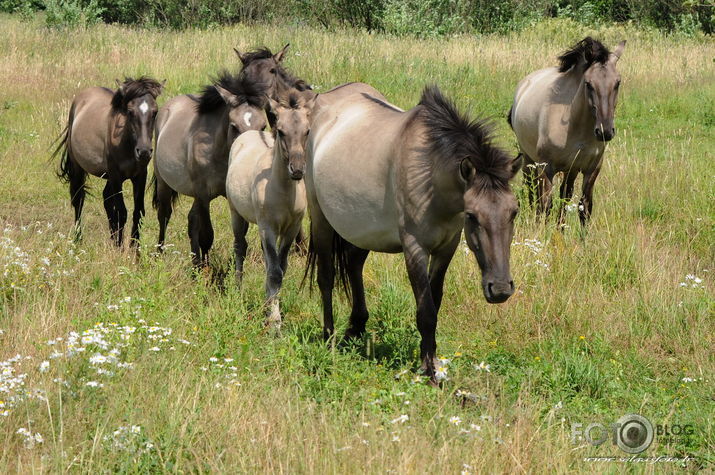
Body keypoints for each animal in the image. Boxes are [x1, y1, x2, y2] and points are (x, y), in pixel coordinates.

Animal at [55, 76, 165, 247]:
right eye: (130, 111)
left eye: (155, 112)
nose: (144, 151)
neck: (126, 143)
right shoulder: (116, 176)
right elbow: (121, 212)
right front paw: (120, 247)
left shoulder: (140, 175)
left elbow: (138, 211)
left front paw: (135, 248)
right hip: (78, 167)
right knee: (78, 199)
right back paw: (78, 239)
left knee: (106, 199)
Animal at [154, 74, 268, 268]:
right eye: (234, 126)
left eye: (263, 127)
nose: (251, 152)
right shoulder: (203, 195)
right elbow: (207, 236)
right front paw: (206, 271)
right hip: (164, 183)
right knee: (164, 215)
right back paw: (160, 253)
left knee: (192, 220)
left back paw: (195, 263)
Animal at [227, 86, 316, 328]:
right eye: (282, 131)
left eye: (307, 131)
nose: (297, 169)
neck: (283, 192)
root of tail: (247, 134)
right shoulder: (267, 227)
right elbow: (274, 272)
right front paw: (275, 322)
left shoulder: (291, 228)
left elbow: (279, 268)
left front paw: (271, 307)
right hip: (236, 213)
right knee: (240, 247)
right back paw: (238, 288)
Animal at [306, 84, 520, 384]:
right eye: (472, 215)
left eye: (513, 212)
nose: (500, 289)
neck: (429, 173)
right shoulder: (415, 248)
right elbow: (426, 310)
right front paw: (430, 372)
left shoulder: (446, 248)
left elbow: (435, 300)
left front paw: (431, 360)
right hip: (321, 219)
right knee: (326, 278)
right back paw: (330, 337)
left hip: (360, 228)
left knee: (354, 265)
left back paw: (356, 328)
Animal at [510, 36, 628, 226]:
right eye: (588, 84)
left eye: (617, 83)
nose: (605, 132)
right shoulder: (547, 168)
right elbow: (546, 204)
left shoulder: (592, 169)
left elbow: (584, 206)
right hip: (528, 159)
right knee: (532, 191)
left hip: (569, 170)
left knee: (565, 195)